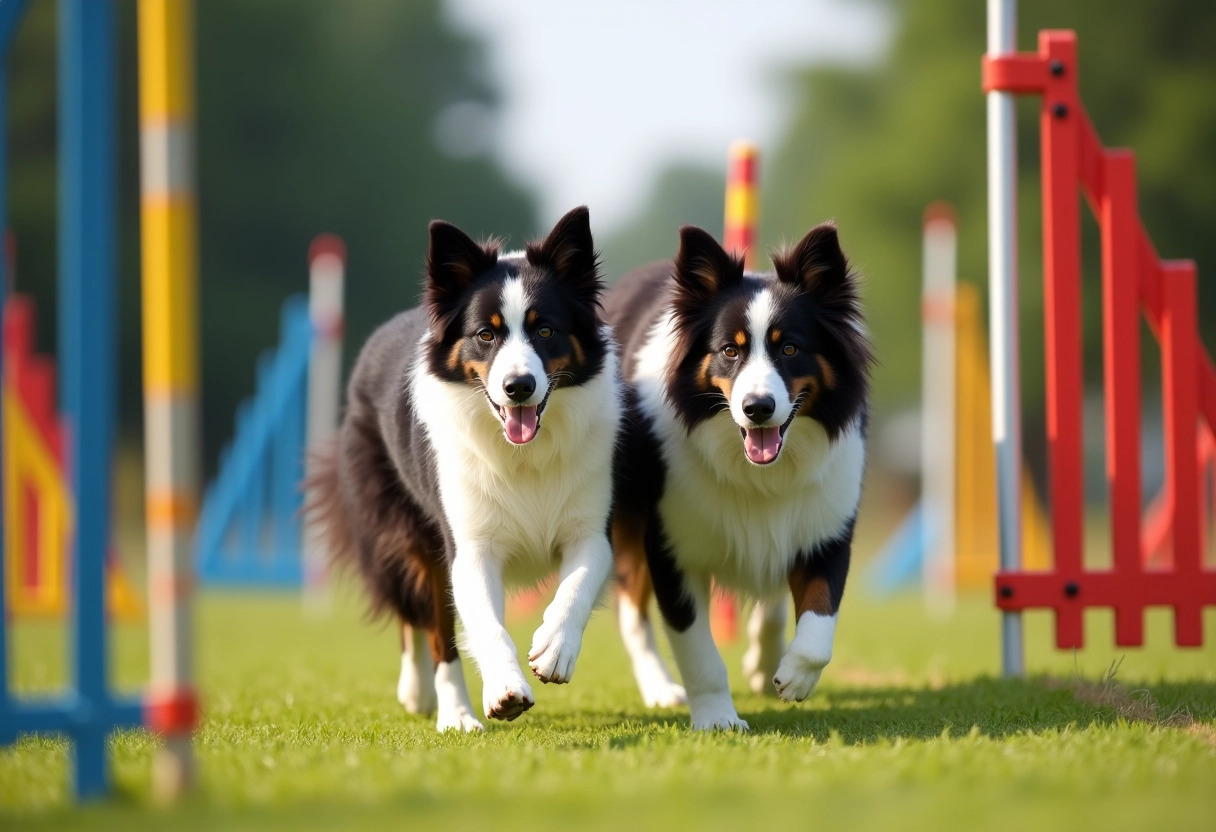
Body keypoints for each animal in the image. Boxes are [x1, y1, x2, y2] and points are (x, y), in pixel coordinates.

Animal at [308, 206, 622, 729]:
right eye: (486, 334)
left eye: (545, 330)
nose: (518, 386)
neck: (523, 453)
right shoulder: (468, 545)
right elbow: (483, 626)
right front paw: (505, 689)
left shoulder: (592, 528)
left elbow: (575, 586)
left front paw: (554, 648)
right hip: (404, 531)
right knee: (427, 625)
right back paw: (441, 705)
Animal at [608, 222, 875, 729]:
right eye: (730, 351)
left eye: (790, 347)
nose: (757, 408)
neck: (758, 472)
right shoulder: (672, 548)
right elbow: (699, 652)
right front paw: (717, 719)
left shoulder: (828, 527)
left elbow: (818, 624)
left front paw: (792, 676)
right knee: (631, 610)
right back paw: (659, 687)